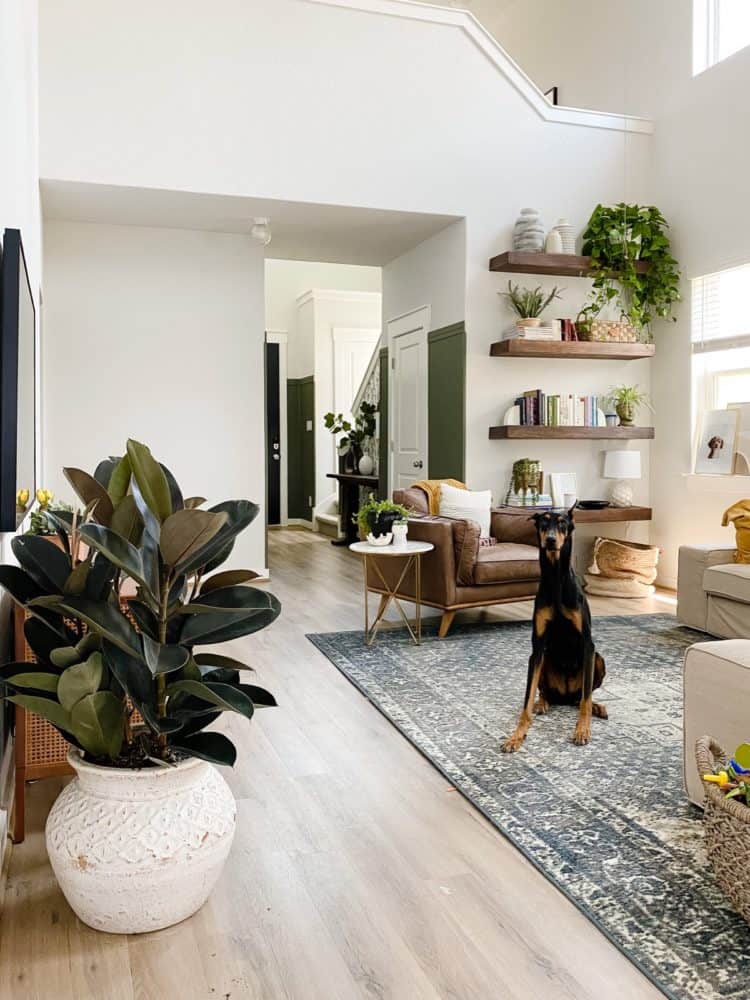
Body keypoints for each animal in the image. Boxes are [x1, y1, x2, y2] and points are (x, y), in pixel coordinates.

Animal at [502, 508, 608, 752]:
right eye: (543, 523)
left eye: (562, 524)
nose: (550, 540)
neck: (556, 578)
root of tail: (565, 696)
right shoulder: (537, 646)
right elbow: (526, 700)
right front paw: (516, 737)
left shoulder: (588, 645)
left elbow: (586, 699)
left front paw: (582, 730)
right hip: (544, 660)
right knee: (544, 691)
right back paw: (542, 703)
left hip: (598, 659)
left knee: (582, 697)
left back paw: (598, 708)